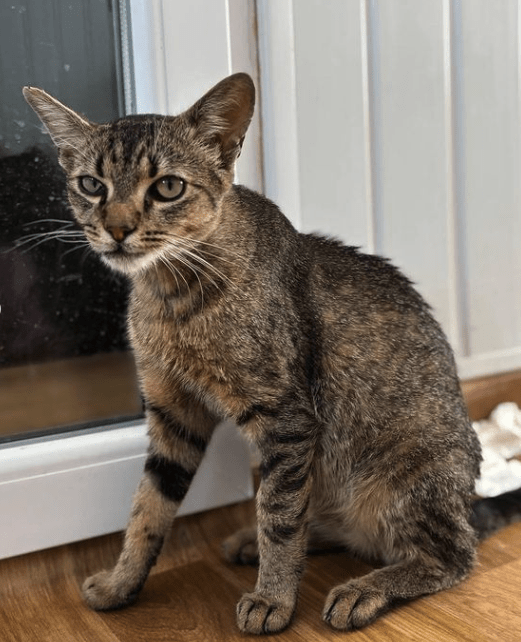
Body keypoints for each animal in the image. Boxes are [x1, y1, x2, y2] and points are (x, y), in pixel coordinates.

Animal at [23, 72, 520, 632]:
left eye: (168, 187)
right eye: (91, 185)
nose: (117, 228)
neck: (171, 297)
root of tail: (468, 503)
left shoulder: (287, 418)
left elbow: (279, 517)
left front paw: (273, 599)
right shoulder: (173, 414)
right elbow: (147, 510)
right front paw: (121, 582)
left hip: (402, 476)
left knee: (450, 557)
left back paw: (363, 589)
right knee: (329, 525)